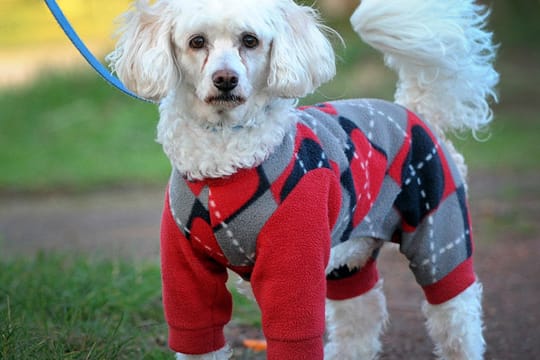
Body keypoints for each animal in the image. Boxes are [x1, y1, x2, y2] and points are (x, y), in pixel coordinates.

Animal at [107, 0, 500, 358]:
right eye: (197, 41)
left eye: (250, 40)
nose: (225, 79)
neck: (224, 161)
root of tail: (414, 110)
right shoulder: (186, 269)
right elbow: (198, 335)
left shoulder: (295, 265)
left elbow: (294, 335)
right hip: (350, 254)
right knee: (360, 315)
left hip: (438, 233)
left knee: (457, 315)